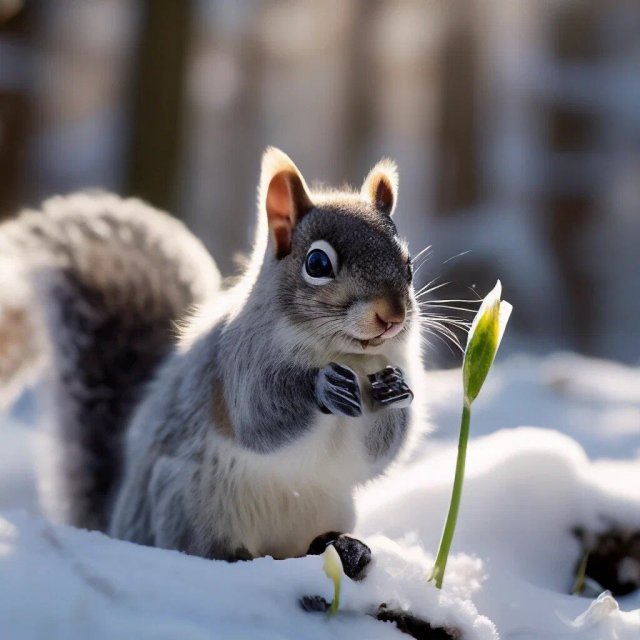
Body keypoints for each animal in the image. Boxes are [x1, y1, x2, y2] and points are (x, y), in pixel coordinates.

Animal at [0, 148, 424, 576]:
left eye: (407, 265)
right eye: (317, 264)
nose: (392, 316)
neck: (344, 354)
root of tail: (119, 526)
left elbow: (377, 453)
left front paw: (393, 392)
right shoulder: (235, 362)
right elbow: (259, 419)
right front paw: (322, 386)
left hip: (326, 506)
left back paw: (343, 546)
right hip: (187, 500)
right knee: (201, 547)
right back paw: (235, 556)